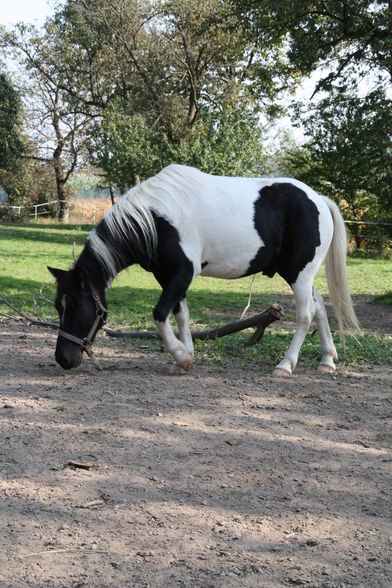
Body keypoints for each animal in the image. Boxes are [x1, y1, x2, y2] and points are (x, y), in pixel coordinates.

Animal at [47, 163, 360, 374]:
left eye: (79, 307)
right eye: (58, 306)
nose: (63, 359)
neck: (155, 219)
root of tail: (319, 200)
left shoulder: (183, 273)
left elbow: (160, 314)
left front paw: (181, 355)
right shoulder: (168, 276)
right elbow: (180, 314)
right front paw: (184, 358)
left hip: (299, 274)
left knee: (306, 315)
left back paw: (285, 365)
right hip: (298, 274)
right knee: (319, 308)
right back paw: (327, 360)